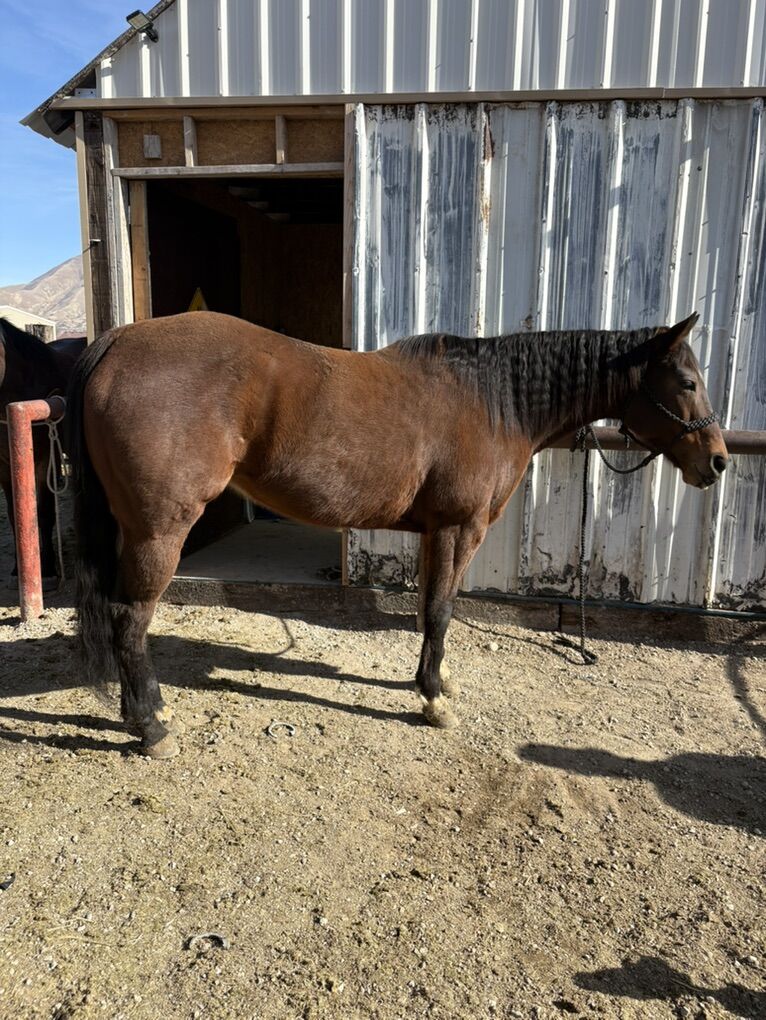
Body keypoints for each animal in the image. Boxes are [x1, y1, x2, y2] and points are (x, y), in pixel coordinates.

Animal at [0, 318, 85, 584]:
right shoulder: (4, 465)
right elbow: (16, 515)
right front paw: (18, 568)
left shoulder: (43, 459)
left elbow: (44, 512)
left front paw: (47, 568)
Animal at [65, 310, 728, 759]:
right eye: (687, 383)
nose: (718, 462)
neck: (493, 402)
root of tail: (118, 341)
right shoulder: (459, 527)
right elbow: (438, 610)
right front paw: (432, 698)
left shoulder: (436, 531)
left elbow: (434, 607)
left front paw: (435, 681)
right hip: (159, 530)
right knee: (129, 620)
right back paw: (151, 727)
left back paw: (144, 710)